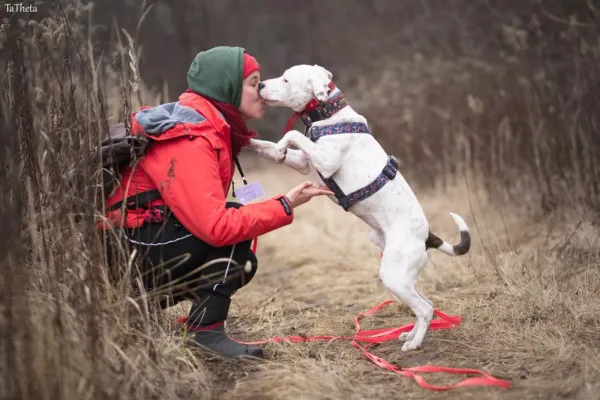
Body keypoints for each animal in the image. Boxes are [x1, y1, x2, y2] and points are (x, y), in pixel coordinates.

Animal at [246, 63, 472, 350]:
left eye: (286, 80)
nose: (261, 85)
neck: (330, 117)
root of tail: (427, 236)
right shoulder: (305, 163)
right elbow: (271, 144)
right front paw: (248, 140)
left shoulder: (326, 162)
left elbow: (292, 133)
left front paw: (280, 149)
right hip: (402, 276)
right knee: (426, 304)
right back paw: (410, 334)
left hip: (394, 274)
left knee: (425, 309)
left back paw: (414, 344)